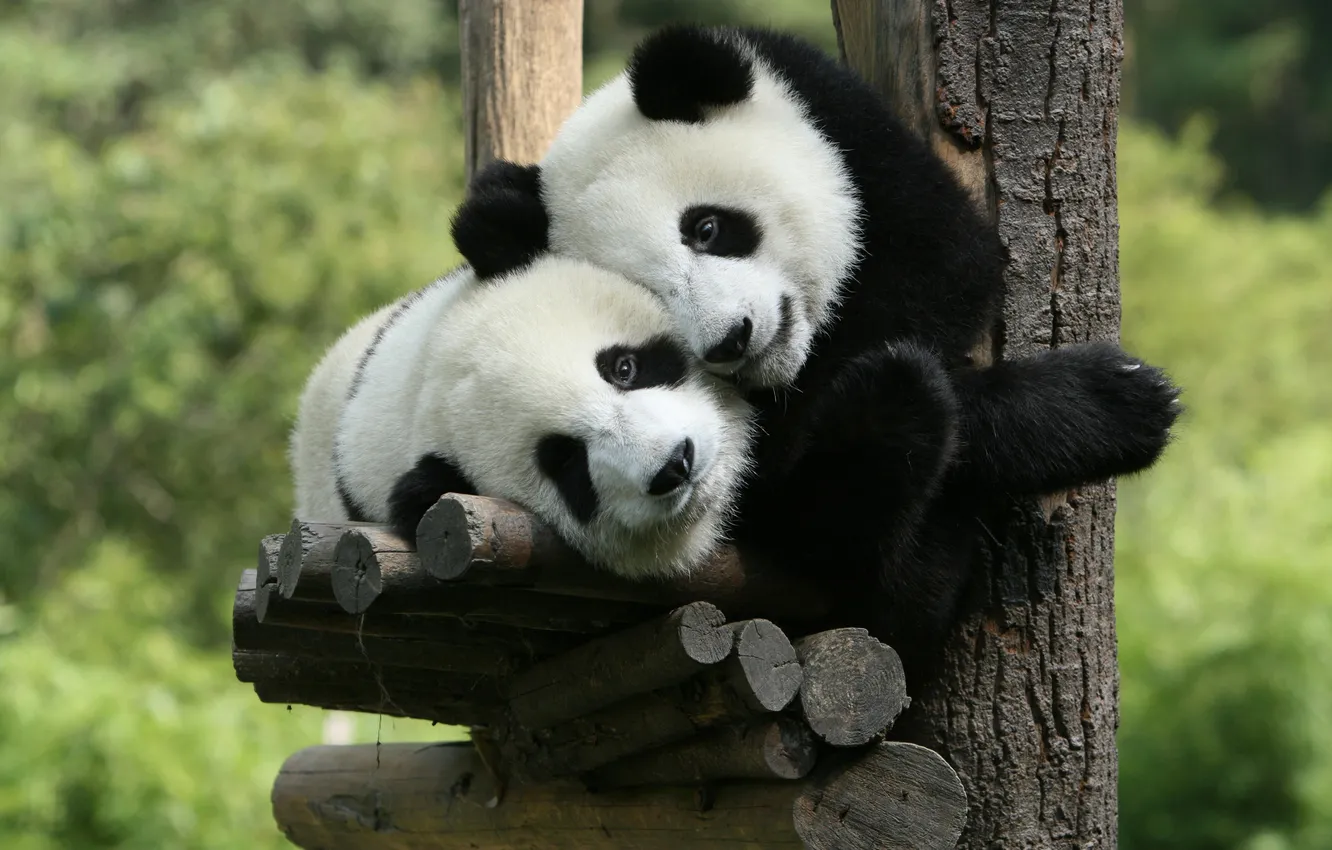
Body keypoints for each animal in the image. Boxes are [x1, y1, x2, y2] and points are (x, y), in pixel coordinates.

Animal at [456, 24, 1182, 678]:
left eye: (707, 228)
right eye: (651, 297)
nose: (732, 339)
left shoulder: (850, 135)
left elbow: (949, 268)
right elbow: (790, 477)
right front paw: (1115, 403)